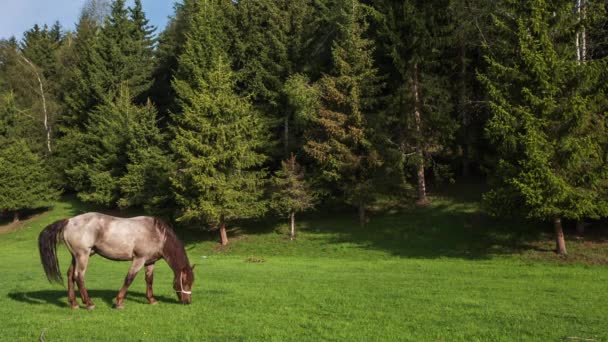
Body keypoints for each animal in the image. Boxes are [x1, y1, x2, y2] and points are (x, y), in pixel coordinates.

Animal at [37, 211, 195, 310]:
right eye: (185, 282)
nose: (187, 302)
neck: (156, 233)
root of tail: (69, 221)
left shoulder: (150, 262)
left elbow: (149, 280)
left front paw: (152, 300)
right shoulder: (139, 259)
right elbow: (129, 279)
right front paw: (118, 302)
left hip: (76, 256)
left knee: (70, 275)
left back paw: (74, 304)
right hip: (83, 255)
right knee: (79, 276)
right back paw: (89, 304)